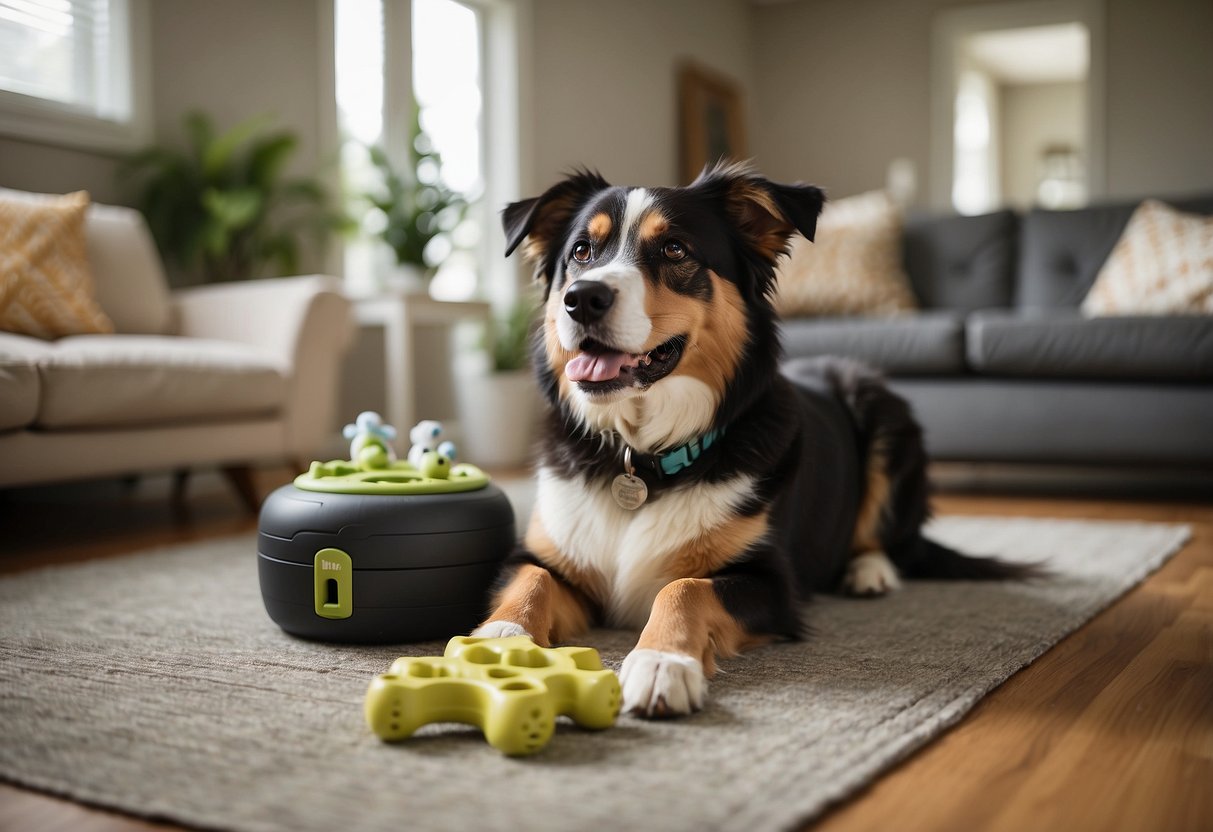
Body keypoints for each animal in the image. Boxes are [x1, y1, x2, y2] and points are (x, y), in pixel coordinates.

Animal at [473, 161, 1033, 717]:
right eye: (581, 253)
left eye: (675, 249)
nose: (582, 299)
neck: (641, 457)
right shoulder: (546, 554)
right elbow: (532, 580)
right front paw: (499, 641)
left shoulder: (775, 584)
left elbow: (684, 588)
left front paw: (661, 662)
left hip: (883, 412)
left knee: (886, 537)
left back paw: (869, 573)